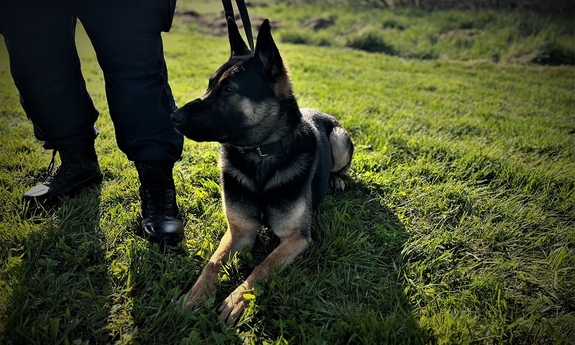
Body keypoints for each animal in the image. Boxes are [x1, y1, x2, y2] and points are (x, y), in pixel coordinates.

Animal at [169, 17, 354, 324]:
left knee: (341, 167)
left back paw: (337, 180)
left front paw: (237, 299)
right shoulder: (239, 231)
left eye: (229, 90)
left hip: (339, 141)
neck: (261, 155)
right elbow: (213, 263)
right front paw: (193, 297)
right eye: (209, 85)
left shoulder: (296, 239)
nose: (173, 116)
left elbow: (263, 266)